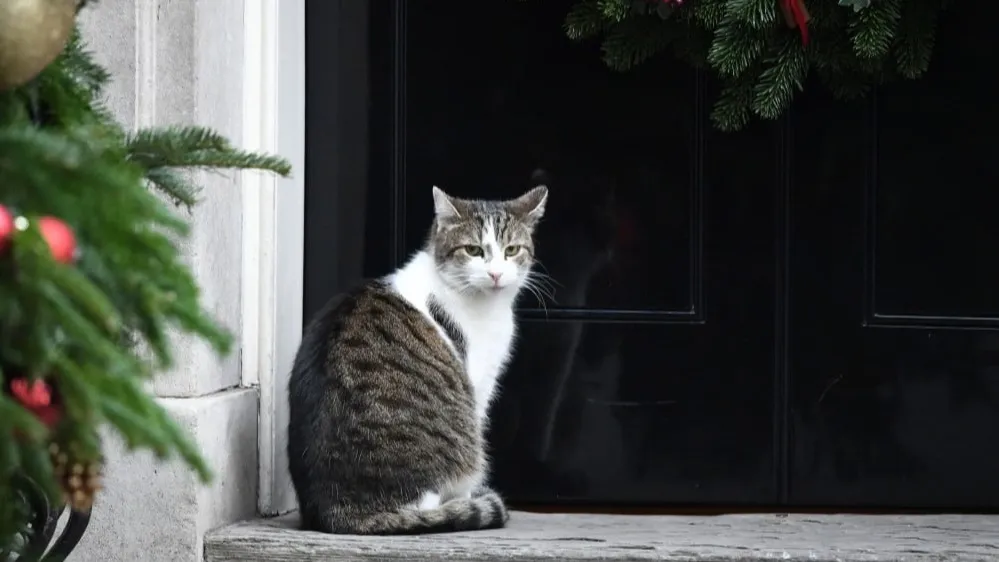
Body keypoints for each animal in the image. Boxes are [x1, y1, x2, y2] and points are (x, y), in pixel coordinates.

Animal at [286, 184, 552, 532]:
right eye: (473, 250)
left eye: (511, 250)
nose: (495, 274)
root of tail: (336, 511)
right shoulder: (477, 387)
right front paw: (470, 500)